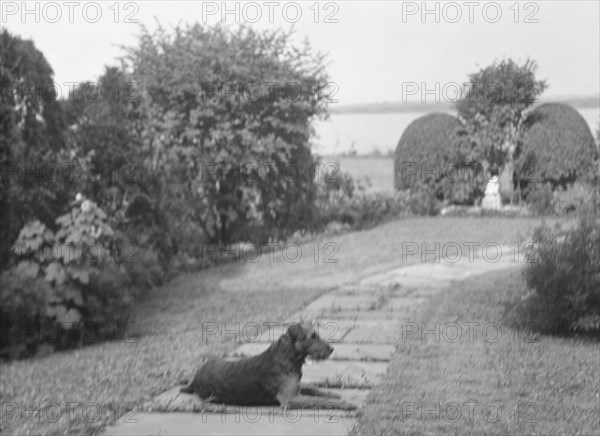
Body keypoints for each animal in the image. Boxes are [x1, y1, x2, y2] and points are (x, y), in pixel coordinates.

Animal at [178, 322, 356, 410]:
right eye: (312, 336)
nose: (332, 349)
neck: (290, 357)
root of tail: (195, 379)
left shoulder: (297, 387)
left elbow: (315, 390)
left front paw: (334, 394)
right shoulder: (290, 399)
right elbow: (319, 400)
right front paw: (346, 404)